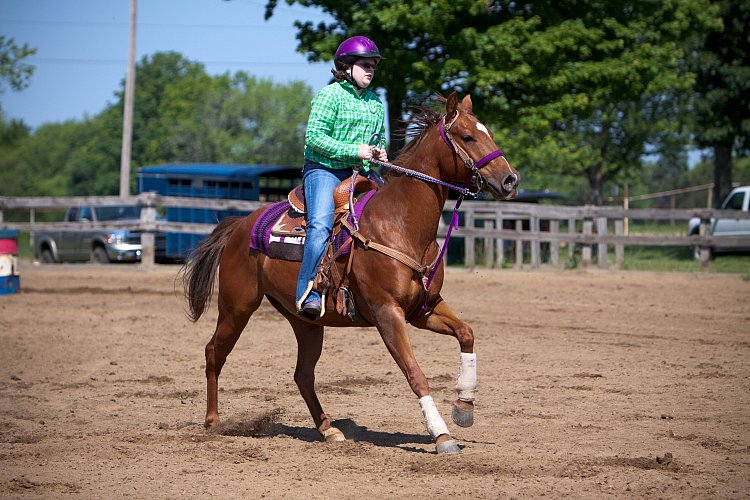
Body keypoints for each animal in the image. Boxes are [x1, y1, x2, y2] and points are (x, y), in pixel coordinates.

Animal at [184, 92, 524, 456]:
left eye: (488, 133)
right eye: (467, 137)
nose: (510, 180)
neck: (401, 224)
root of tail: (239, 226)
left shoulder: (425, 309)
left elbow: (466, 333)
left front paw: (464, 407)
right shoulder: (387, 313)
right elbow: (415, 373)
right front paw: (442, 436)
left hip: (305, 322)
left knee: (303, 374)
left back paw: (328, 430)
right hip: (237, 307)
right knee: (214, 352)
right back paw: (213, 422)